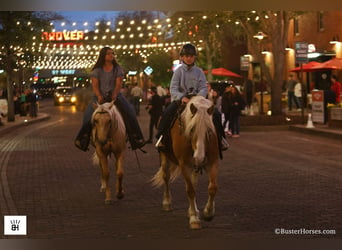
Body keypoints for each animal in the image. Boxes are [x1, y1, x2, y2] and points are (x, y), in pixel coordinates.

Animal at [152, 96, 219, 230]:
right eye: (192, 129)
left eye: (209, 130)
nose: (199, 157)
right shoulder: (184, 165)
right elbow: (190, 190)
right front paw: (194, 219)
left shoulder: (213, 162)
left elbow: (212, 188)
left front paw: (208, 213)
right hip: (164, 157)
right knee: (166, 177)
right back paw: (167, 203)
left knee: (194, 182)